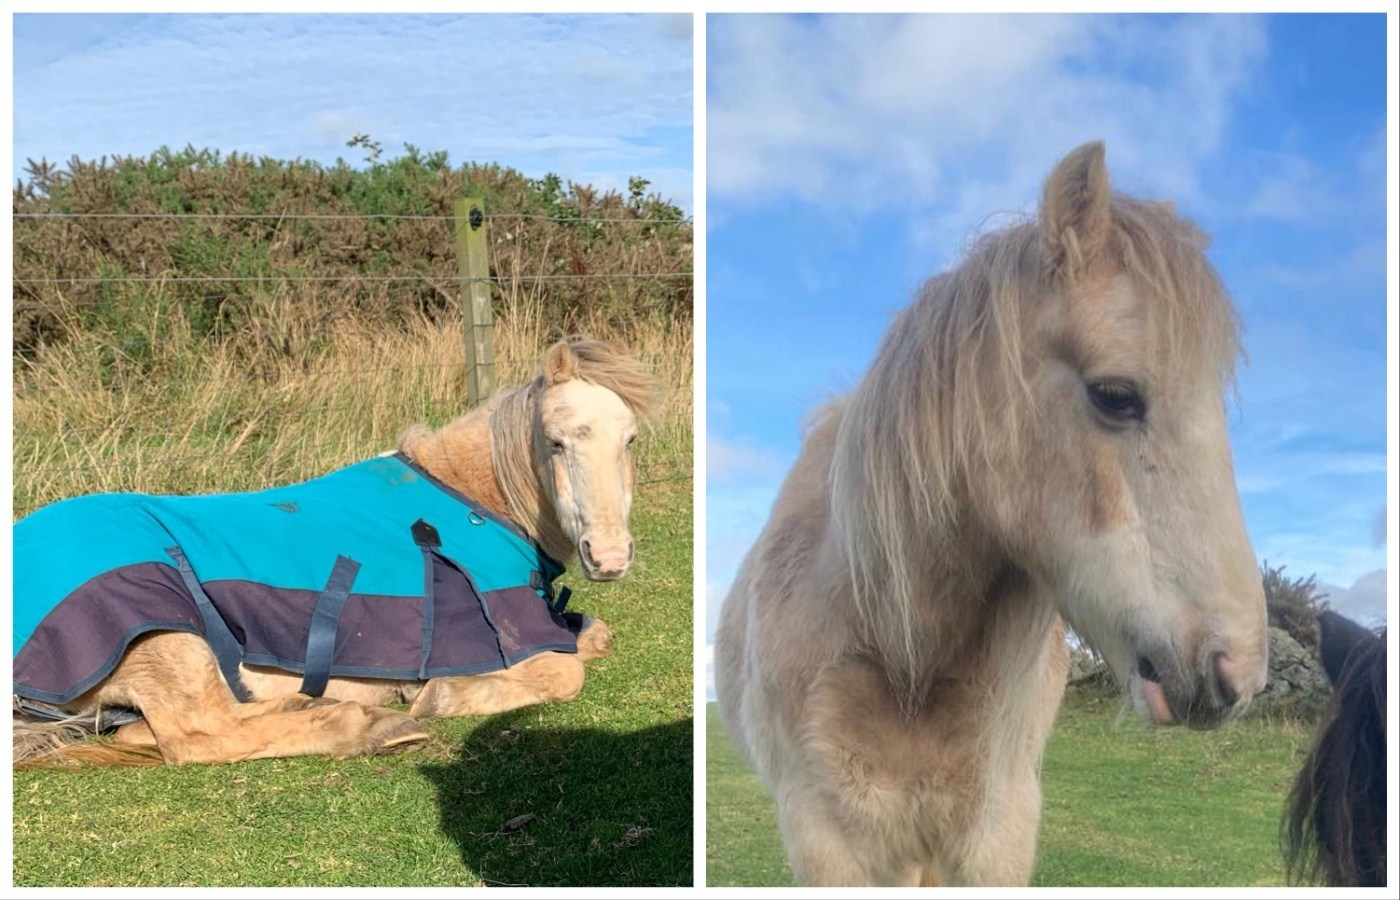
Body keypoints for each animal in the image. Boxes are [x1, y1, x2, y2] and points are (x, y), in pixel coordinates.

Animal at [12, 338, 655, 767]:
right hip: (165, 636)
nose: (610, 556)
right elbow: (566, 672)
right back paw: (366, 724)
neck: (470, 499)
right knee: (198, 735)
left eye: (630, 440)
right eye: (556, 442)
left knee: (144, 730)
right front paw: (436, 696)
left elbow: (595, 636)